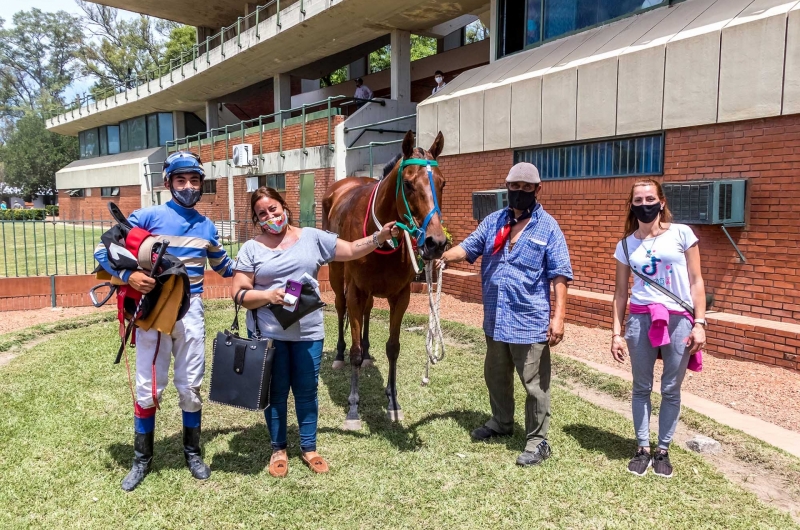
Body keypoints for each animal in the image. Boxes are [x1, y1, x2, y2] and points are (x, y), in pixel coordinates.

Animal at [322, 130, 446, 426]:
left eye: (442, 183)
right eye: (409, 184)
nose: (436, 243)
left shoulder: (400, 295)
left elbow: (393, 347)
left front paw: (393, 399)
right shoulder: (356, 291)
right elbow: (354, 350)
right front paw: (353, 407)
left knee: (367, 313)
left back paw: (369, 353)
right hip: (337, 275)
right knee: (340, 307)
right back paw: (340, 354)